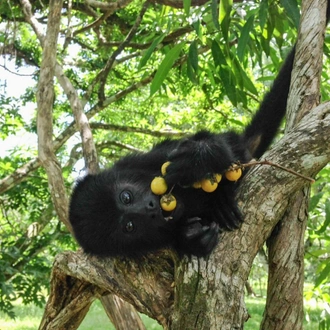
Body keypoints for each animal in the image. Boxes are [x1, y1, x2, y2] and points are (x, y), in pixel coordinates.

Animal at [69, 5, 330, 258]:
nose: (150, 209)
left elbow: (211, 143)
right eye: (129, 226)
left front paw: (198, 161)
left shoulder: (144, 159)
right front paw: (193, 238)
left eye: (126, 197)